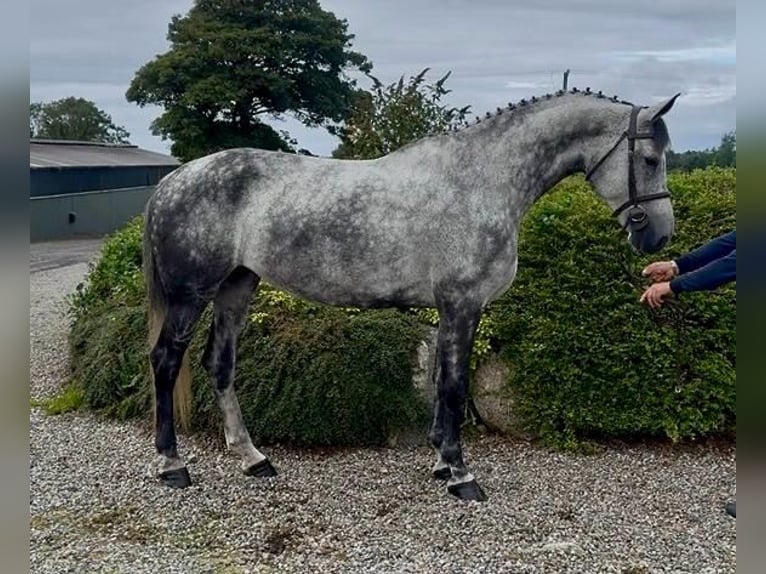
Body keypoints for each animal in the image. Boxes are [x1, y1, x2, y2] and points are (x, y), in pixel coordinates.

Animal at [143, 88, 680, 501]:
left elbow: (443, 382)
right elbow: (455, 386)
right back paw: (172, 466)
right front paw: (461, 475)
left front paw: (441, 460)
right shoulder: (462, 304)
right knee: (165, 361)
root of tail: (174, 179)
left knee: (220, 365)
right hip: (192, 295)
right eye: (650, 159)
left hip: (237, 286)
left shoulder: (450, 309)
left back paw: (253, 458)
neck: (482, 180)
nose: (659, 236)